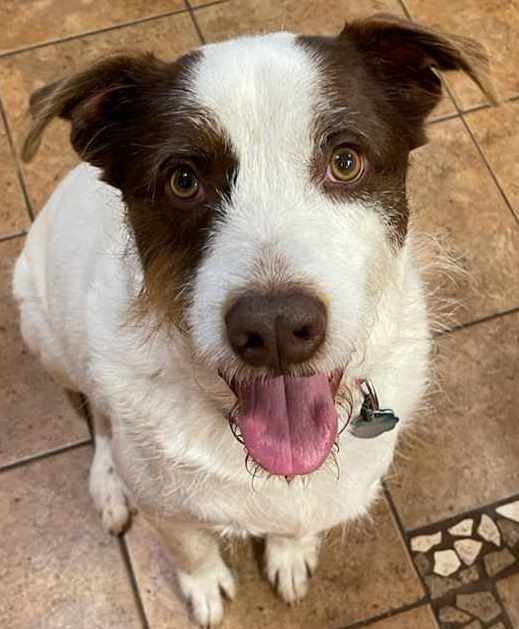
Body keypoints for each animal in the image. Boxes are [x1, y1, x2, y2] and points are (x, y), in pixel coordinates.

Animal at [11, 13, 492, 624]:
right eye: (183, 180)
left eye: (346, 161)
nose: (277, 328)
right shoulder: (164, 504)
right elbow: (189, 546)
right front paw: (204, 585)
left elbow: (299, 524)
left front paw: (290, 553)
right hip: (40, 326)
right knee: (94, 412)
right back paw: (108, 483)